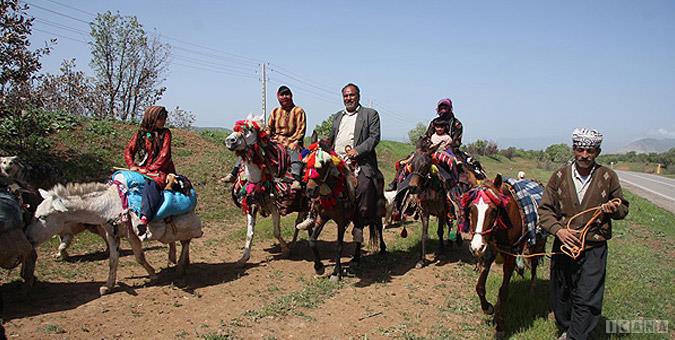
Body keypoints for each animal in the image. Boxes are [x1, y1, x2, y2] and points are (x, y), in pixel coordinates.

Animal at [25, 183, 203, 294]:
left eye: (44, 217)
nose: (29, 238)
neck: (107, 205)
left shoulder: (132, 235)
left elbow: (139, 257)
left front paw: (153, 275)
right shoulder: (111, 235)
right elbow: (113, 260)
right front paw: (107, 287)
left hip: (184, 224)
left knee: (186, 241)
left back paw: (180, 267)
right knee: (178, 242)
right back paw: (180, 262)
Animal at [306, 136, 386, 282]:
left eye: (323, 163)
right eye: (306, 163)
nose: (310, 191)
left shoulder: (341, 221)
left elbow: (339, 245)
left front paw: (336, 273)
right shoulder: (323, 217)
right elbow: (312, 241)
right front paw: (319, 267)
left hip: (375, 211)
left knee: (377, 227)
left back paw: (382, 249)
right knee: (359, 234)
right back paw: (356, 259)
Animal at [404, 137, 462, 266]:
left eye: (426, 164)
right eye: (411, 164)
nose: (412, 188)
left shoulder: (441, 212)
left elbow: (440, 231)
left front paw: (441, 253)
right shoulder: (424, 212)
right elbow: (424, 235)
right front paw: (422, 259)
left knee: (452, 222)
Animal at [464, 174, 548, 338]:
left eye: (493, 210)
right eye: (471, 208)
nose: (476, 247)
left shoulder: (510, 256)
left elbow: (503, 291)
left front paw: (500, 326)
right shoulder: (489, 251)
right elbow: (479, 286)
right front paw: (488, 308)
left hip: (536, 246)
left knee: (534, 265)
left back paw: (532, 289)